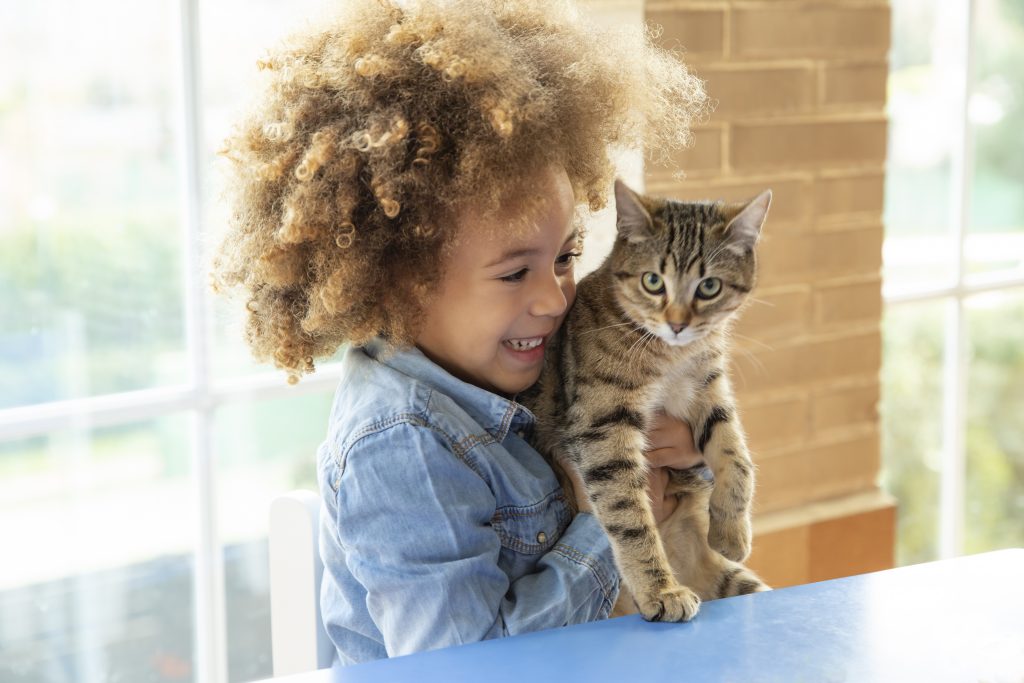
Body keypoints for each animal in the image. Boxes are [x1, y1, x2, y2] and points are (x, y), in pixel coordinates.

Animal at [524, 179, 770, 622]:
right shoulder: (602, 424)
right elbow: (629, 517)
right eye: (653, 281)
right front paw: (661, 590)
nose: (678, 324)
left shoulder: (709, 389)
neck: (672, 357)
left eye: (709, 286)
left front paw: (731, 531)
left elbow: (736, 456)